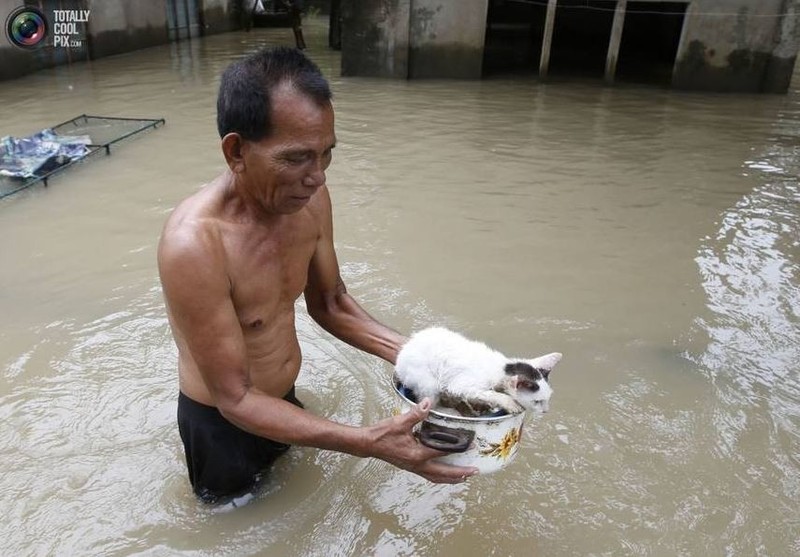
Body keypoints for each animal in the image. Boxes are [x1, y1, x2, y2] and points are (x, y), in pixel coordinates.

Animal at [396, 328, 564, 414]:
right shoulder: (462, 385)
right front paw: (510, 403)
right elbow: (491, 394)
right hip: (427, 383)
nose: (545, 411)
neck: (501, 369)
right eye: (537, 402)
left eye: (547, 399)